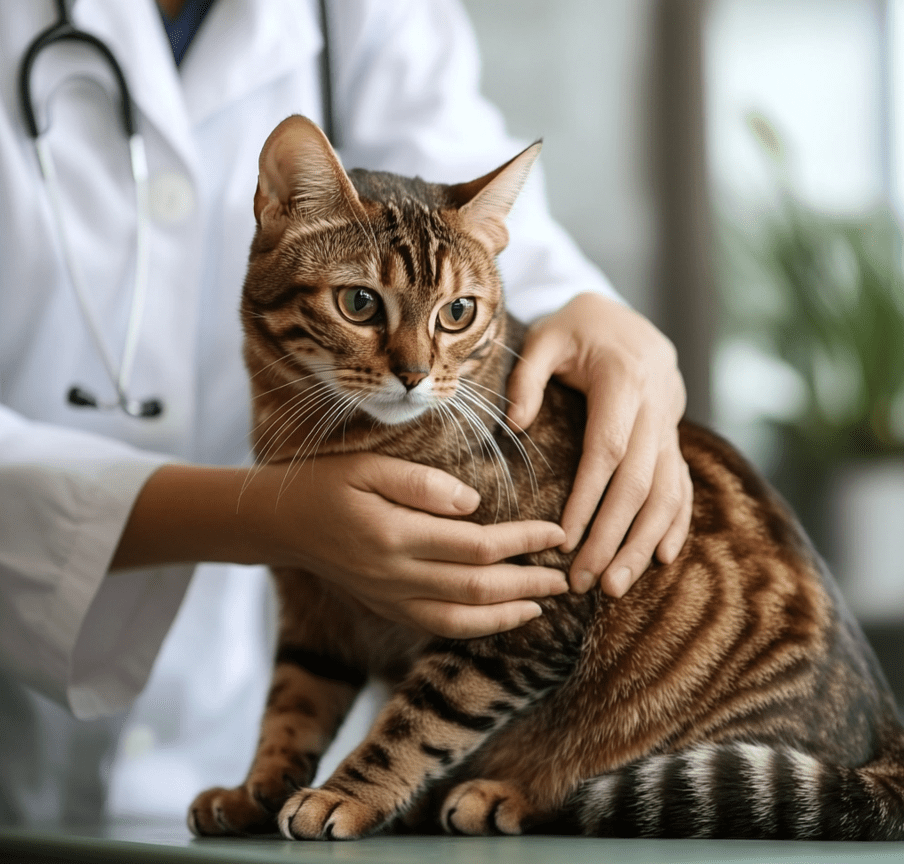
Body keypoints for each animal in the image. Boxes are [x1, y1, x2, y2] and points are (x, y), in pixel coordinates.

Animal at [187, 113, 904, 836]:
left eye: (458, 313)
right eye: (359, 302)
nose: (414, 374)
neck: (313, 441)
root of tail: (886, 746)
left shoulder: (520, 616)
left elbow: (417, 724)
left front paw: (346, 795)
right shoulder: (313, 603)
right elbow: (291, 709)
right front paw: (254, 791)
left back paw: (503, 795)